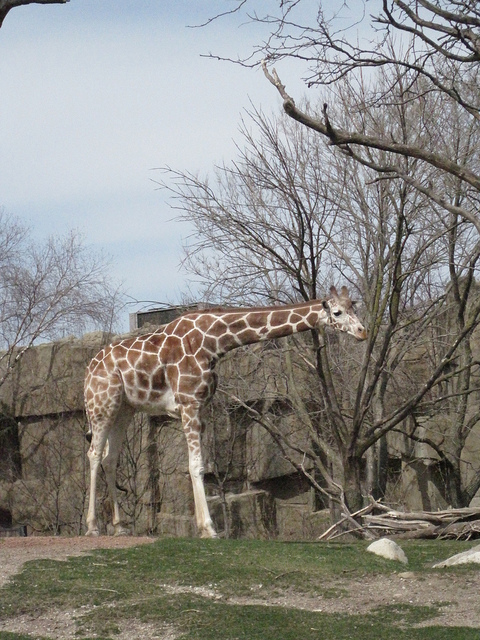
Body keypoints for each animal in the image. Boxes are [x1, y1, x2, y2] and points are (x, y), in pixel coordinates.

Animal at [84, 286, 367, 538]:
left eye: (354, 306)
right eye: (338, 312)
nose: (362, 332)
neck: (214, 341)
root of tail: (88, 370)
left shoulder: (201, 405)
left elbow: (201, 465)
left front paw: (202, 527)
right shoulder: (188, 403)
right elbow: (195, 465)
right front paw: (209, 528)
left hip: (124, 409)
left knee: (110, 458)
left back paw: (119, 527)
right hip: (101, 405)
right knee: (94, 454)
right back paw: (93, 526)